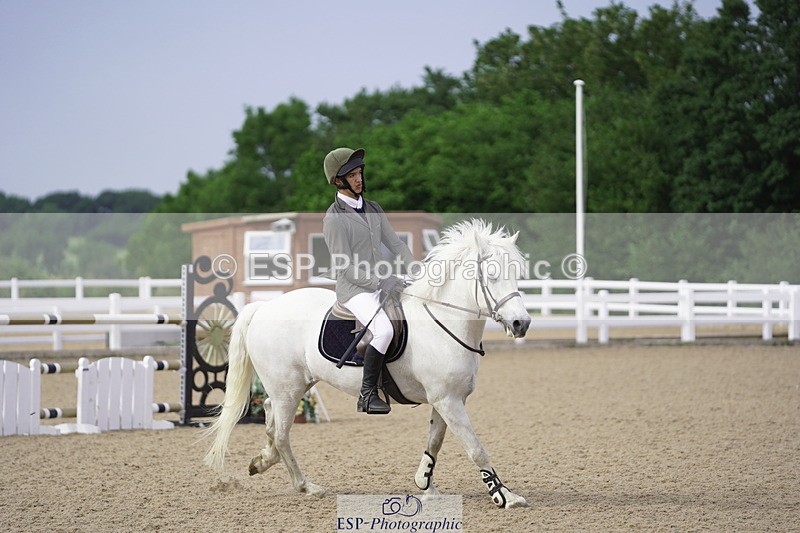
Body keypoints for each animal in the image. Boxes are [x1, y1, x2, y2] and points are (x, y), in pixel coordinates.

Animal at [203, 219, 532, 509]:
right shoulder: (448, 400)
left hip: (292, 386)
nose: (522, 323)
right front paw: (504, 495)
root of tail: (263, 306)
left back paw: (262, 460)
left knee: (271, 419)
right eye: (491, 275)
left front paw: (425, 486)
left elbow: (434, 443)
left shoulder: (447, 399)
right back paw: (306, 486)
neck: (443, 321)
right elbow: (476, 449)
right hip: (288, 389)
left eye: (516, 273)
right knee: (282, 434)